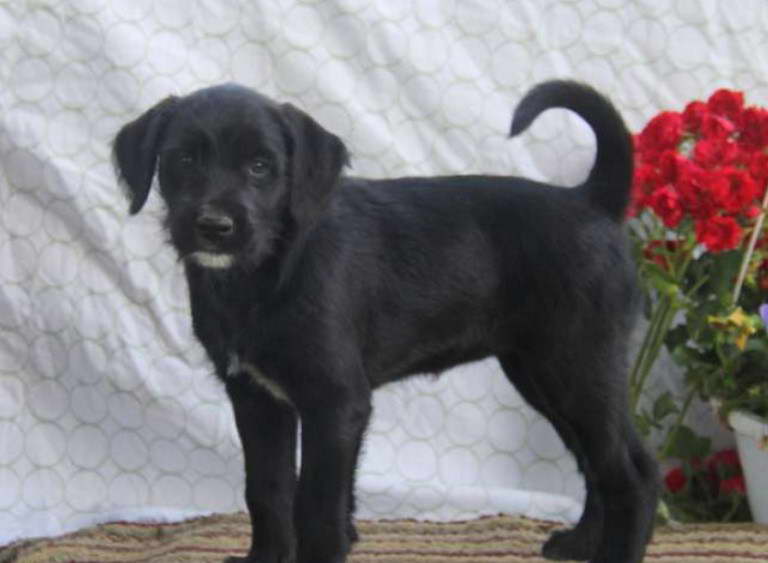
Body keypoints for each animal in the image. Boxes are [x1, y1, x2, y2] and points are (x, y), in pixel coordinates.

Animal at [114, 80, 660, 563]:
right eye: (183, 159)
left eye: (261, 166)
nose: (214, 226)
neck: (266, 273)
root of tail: (591, 202)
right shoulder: (256, 398)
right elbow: (266, 490)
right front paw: (264, 559)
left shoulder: (335, 402)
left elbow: (317, 507)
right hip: (543, 376)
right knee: (597, 465)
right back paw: (579, 545)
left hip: (579, 369)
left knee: (631, 473)